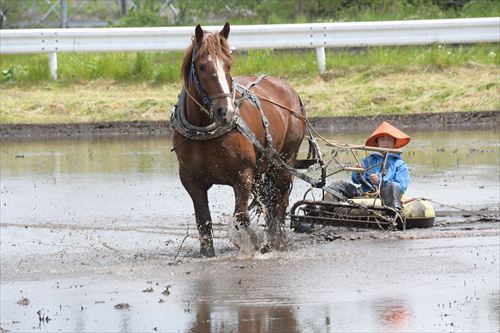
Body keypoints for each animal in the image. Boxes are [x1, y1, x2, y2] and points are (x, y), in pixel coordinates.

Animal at [173, 23, 308, 256]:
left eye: (228, 65)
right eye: (202, 66)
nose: (225, 112)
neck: (205, 132)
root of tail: (289, 90)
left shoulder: (242, 176)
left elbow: (241, 218)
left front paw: (246, 248)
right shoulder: (192, 181)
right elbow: (203, 221)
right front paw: (207, 253)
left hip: (284, 160)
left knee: (280, 202)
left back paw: (275, 241)